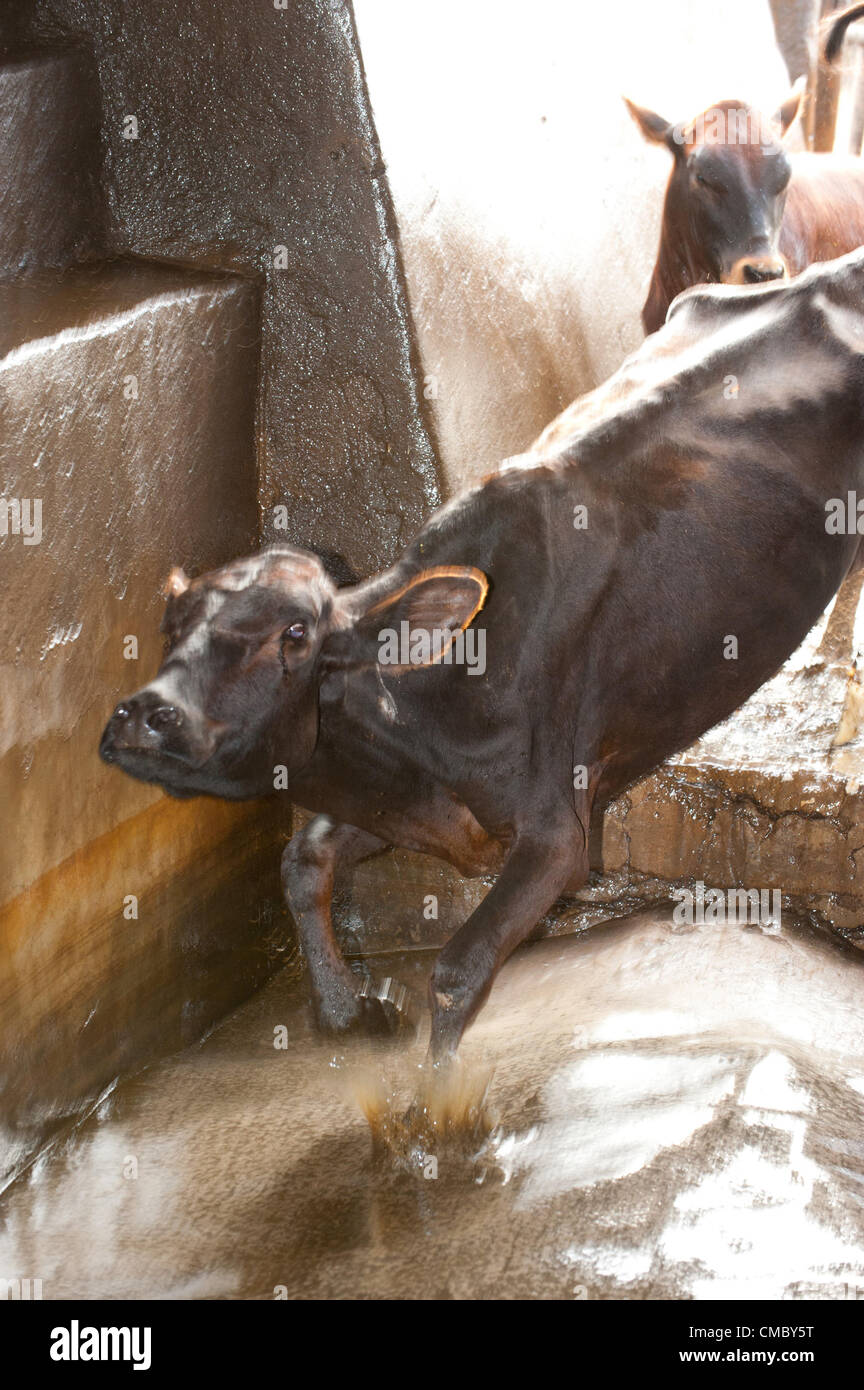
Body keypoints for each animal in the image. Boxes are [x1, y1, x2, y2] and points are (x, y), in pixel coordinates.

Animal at [100, 247, 864, 1061]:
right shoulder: (408, 803)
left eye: (295, 636)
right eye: (169, 624)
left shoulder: (556, 833)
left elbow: (456, 969)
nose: (146, 714)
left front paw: (437, 1094)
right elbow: (302, 860)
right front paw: (342, 1011)